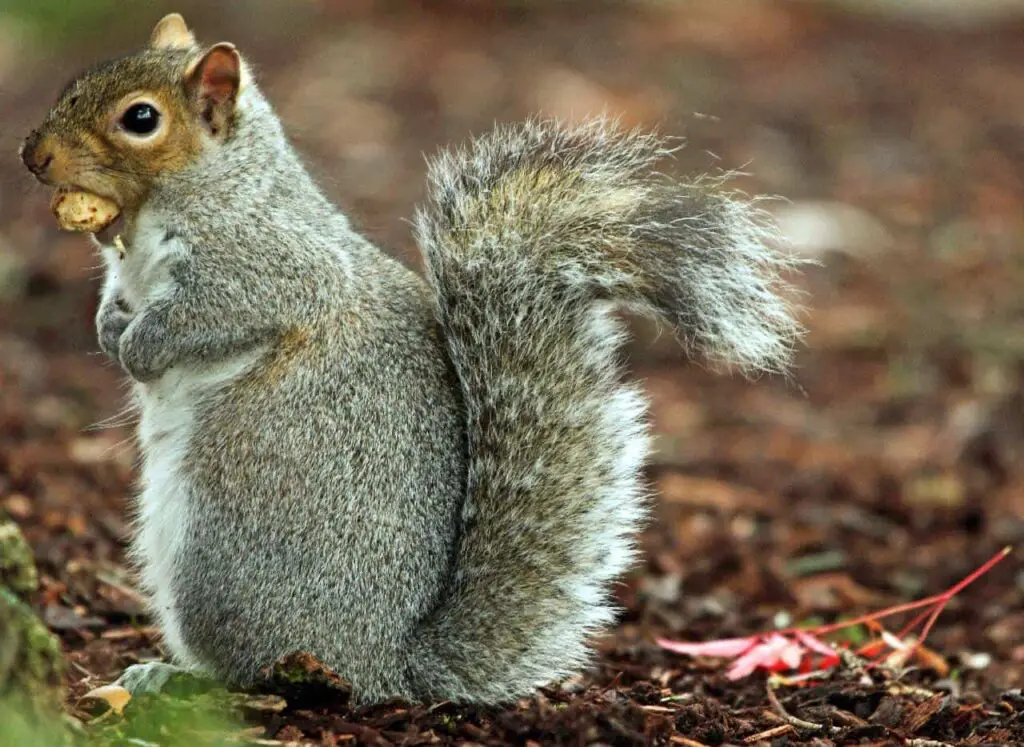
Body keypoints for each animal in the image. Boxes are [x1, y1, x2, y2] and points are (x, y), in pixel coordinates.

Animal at [18, 13, 798, 700]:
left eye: (140, 119)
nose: (33, 156)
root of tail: (387, 662)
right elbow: (116, 300)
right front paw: (109, 328)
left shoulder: (268, 265)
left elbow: (214, 315)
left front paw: (140, 346)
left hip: (219, 558)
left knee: (256, 672)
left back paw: (178, 677)